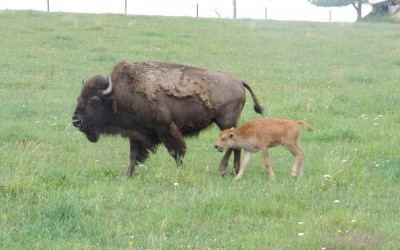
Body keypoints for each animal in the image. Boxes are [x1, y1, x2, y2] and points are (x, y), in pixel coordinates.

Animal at [72, 61, 262, 176]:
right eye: (79, 97)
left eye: (94, 100)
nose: (76, 121)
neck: (118, 96)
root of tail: (239, 82)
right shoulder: (136, 133)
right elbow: (133, 155)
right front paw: (127, 175)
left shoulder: (165, 128)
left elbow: (176, 151)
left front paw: (179, 170)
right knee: (236, 144)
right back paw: (234, 171)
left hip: (225, 122)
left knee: (231, 145)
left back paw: (223, 170)